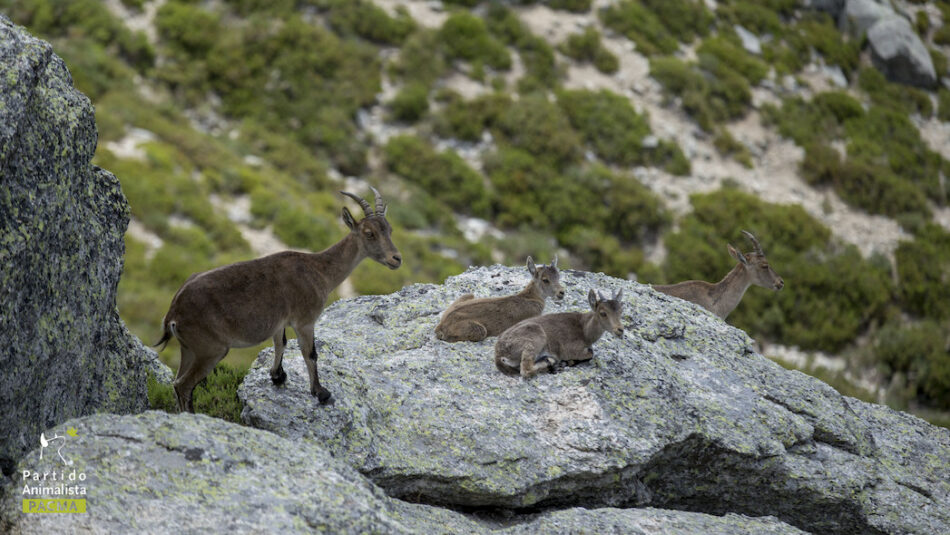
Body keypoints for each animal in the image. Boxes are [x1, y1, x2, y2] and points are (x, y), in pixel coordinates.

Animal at [154, 191, 400, 412]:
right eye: (369, 233)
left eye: (389, 229)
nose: (396, 259)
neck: (319, 270)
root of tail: (173, 314)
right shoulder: (305, 321)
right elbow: (310, 353)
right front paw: (321, 393)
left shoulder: (279, 321)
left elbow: (281, 343)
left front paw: (277, 376)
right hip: (211, 350)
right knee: (183, 385)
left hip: (189, 349)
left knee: (178, 382)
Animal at [436, 256, 564, 344]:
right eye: (545, 280)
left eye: (558, 276)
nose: (561, 293)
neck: (531, 297)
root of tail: (441, 325)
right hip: (480, 330)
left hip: (468, 295)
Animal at [494, 288, 628, 376]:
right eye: (603, 313)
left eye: (621, 311)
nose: (620, 330)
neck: (584, 330)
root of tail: (499, 353)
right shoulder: (571, 349)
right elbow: (590, 353)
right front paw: (568, 361)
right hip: (535, 338)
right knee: (526, 370)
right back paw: (552, 363)